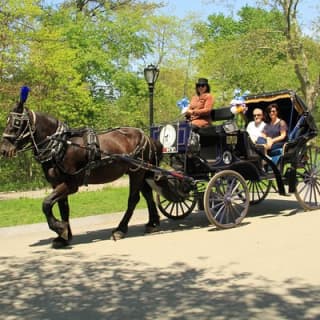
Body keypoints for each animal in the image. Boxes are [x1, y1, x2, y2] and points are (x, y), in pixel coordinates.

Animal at [0, 87, 162, 248]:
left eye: (16, 123)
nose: (3, 150)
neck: (61, 146)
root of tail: (147, 137)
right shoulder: (57, 183)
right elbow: (63, 208)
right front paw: (64, 236)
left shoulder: (71, 184)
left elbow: (46, 204)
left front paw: (60, 228)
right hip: (139, 172)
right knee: (147, 194)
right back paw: (152, 223)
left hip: (137, 172)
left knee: (134, 199)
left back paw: (120, 229)